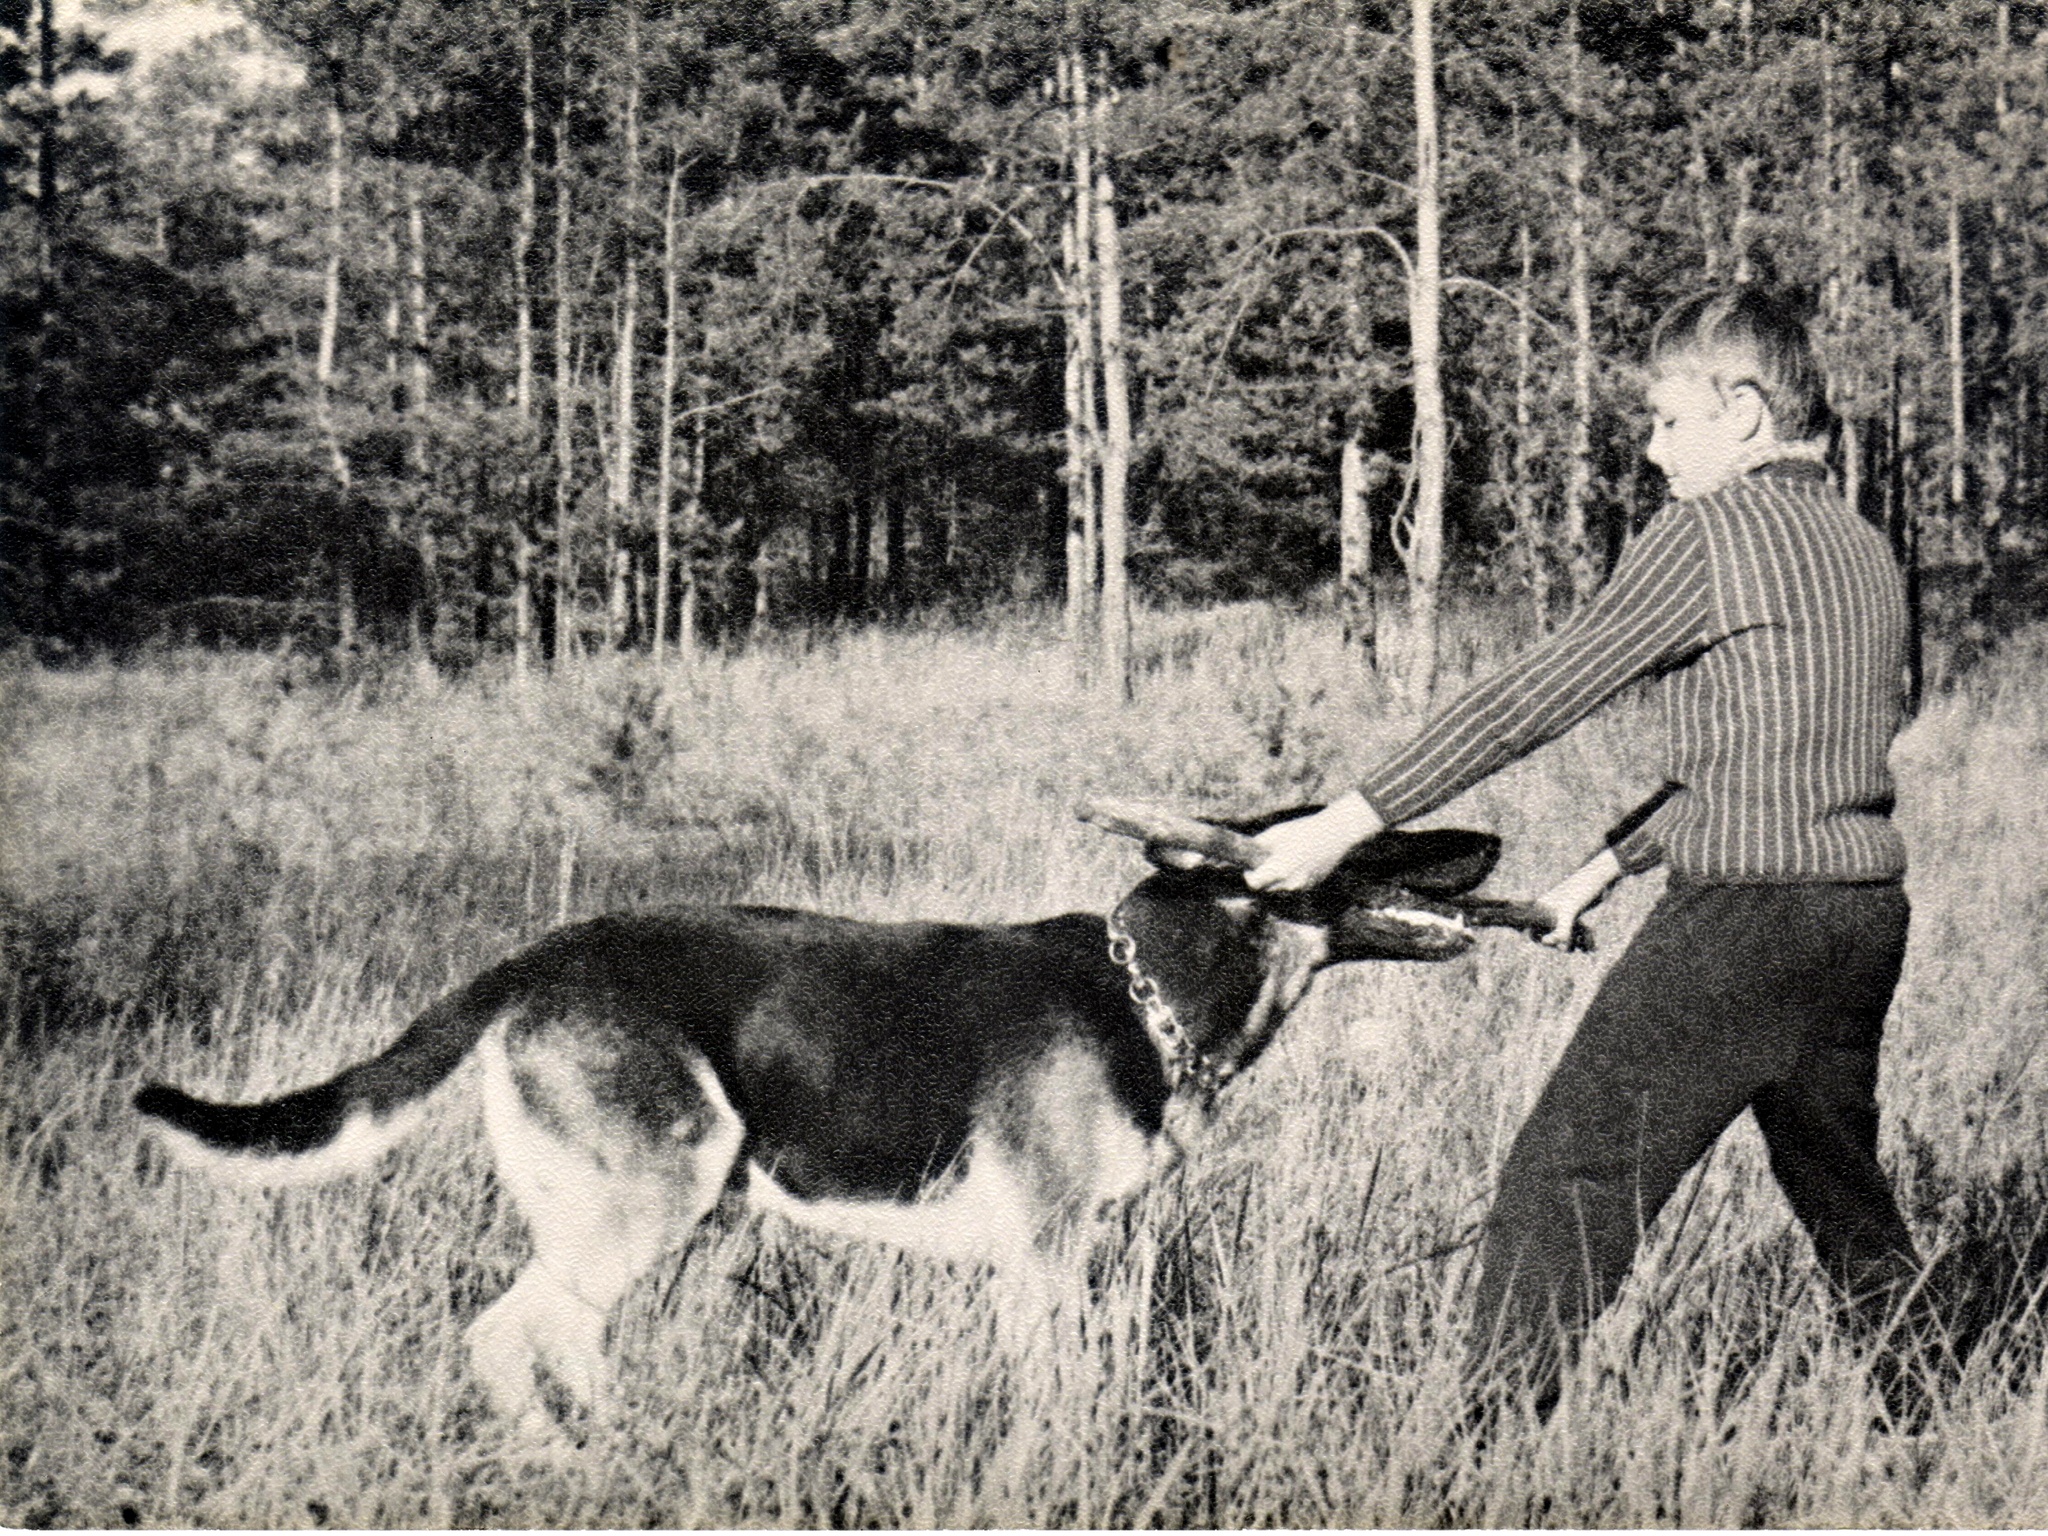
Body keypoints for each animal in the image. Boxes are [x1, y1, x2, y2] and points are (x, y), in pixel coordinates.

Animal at [136, 811, 1540, 1425]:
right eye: (1387, 835)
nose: (1491, 835)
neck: (1150, 987)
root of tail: (539, 960)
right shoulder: (1041, 1262)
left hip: (669, 1217)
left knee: (556, 1342)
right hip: (647, 1202)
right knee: (506, 1339)